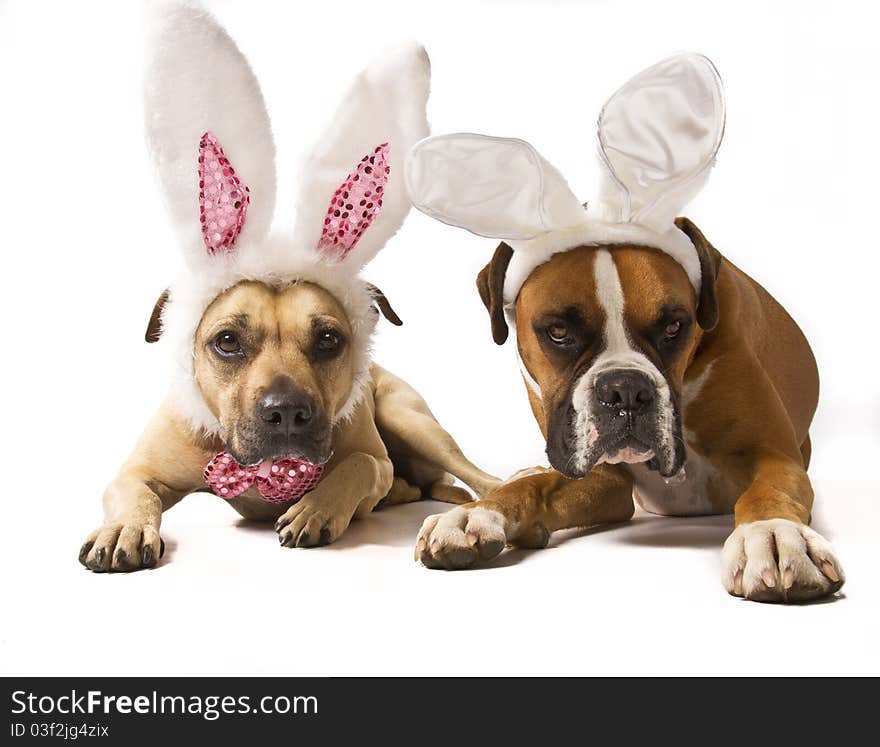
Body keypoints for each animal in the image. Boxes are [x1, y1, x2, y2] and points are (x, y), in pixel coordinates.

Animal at [79, 5, 498, 572]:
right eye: (227, 341)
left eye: (329, 340)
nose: (286, 413)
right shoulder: (138, 468)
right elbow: (131, 492)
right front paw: (121, 528)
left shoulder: (372, 457)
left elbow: (360, 465)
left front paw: (315, 508)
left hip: (413, 421)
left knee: (478, 475)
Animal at [408, 54, 844, 600]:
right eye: (557, 331)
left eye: (675, 325)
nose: (625, 390)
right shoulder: (603, 479)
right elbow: (535, 485)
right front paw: (475, 515)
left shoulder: (776, 454)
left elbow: (770, 490)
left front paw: (775, 535)